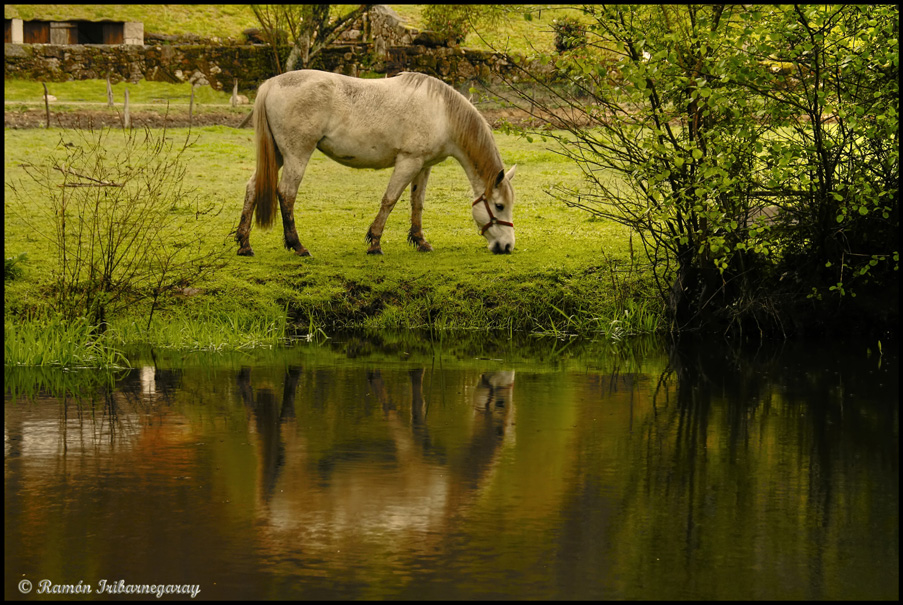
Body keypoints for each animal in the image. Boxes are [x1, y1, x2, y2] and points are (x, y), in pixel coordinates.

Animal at [233, 69, 520, 256]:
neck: (443, 114)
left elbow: (417, 204)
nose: (507, 246)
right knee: (286, 193)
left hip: (278, 156)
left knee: (252, 188)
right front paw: (375, 243)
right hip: (297, 155)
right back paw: (297, 246)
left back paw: (245, 244)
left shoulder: (423, 166)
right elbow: (389, 200)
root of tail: (272, 84)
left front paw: (420, 241)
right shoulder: (408, 162)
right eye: (499, 205)